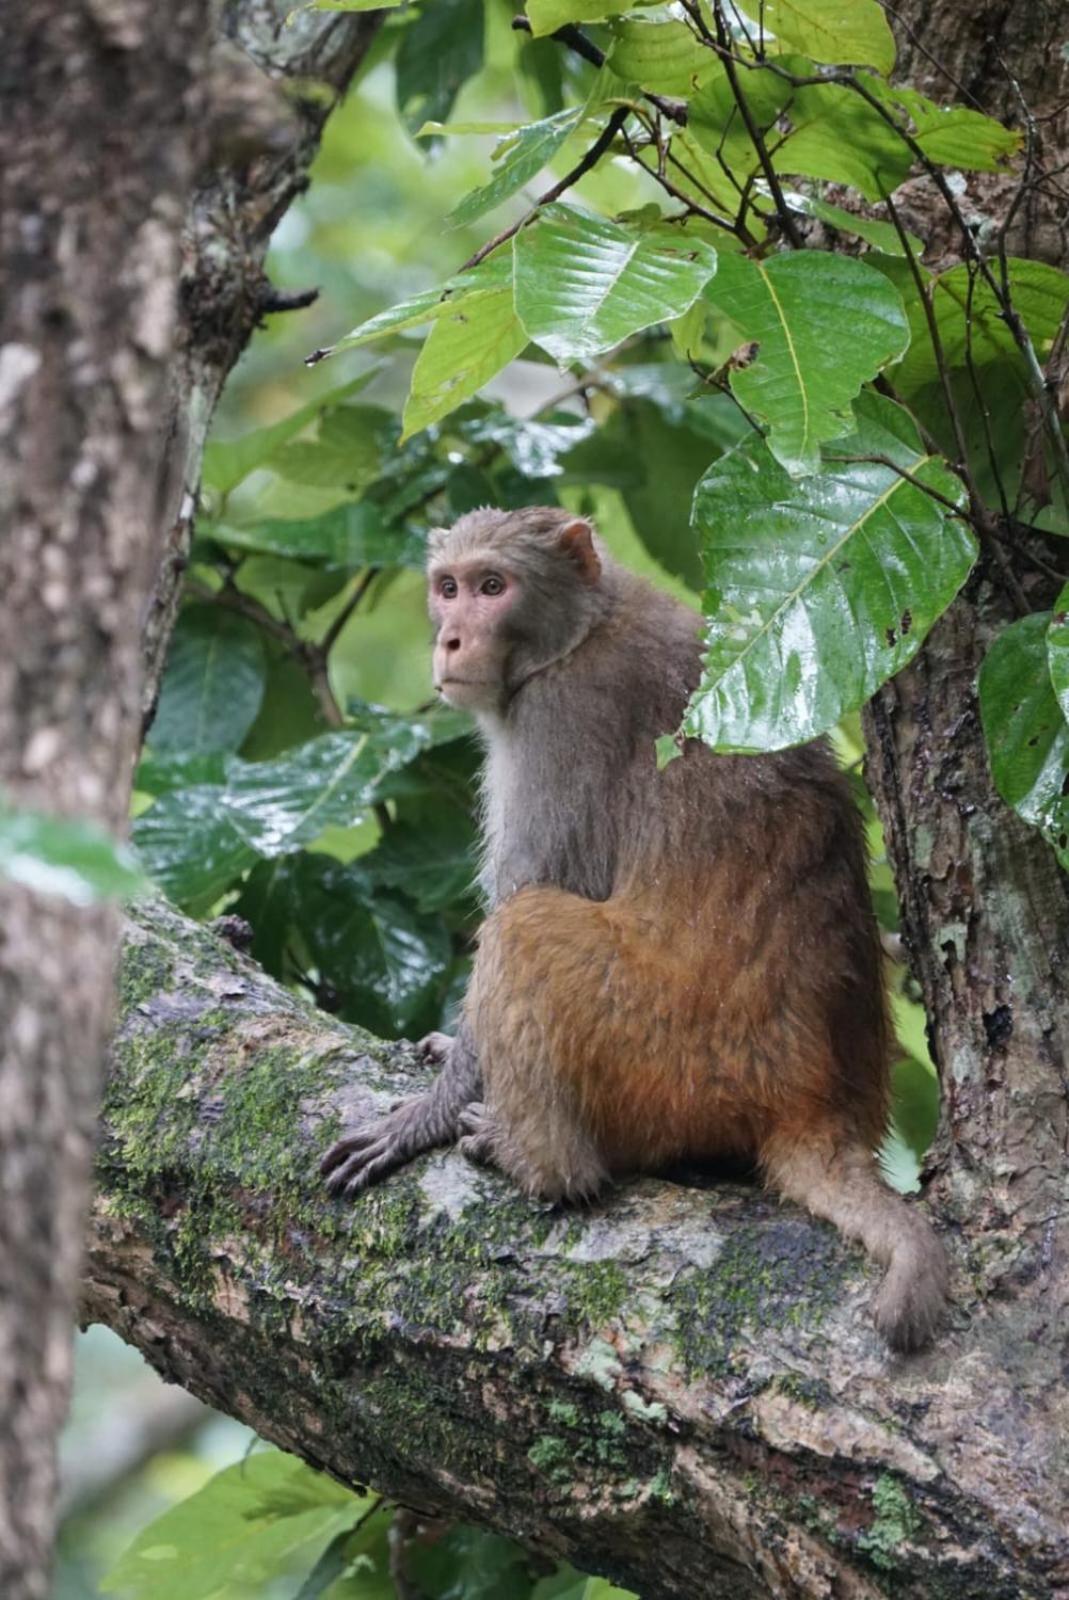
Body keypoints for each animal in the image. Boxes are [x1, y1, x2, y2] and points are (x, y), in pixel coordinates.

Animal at [321, 502, 947, 1350]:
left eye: (492, 587)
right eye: (446, 588)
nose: (449, 638)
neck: (585, 625)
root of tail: (817, 1103)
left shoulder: (562, 718)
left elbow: (537, 886)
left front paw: (430, 1115)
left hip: (666, 1059)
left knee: (525, 929)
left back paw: (543, 1164)